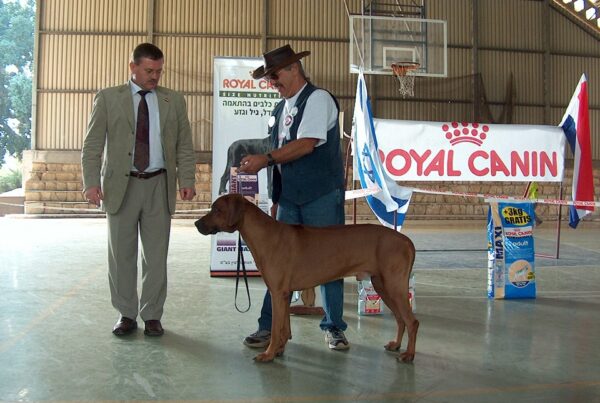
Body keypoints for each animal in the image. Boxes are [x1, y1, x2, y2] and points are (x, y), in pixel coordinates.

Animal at [195, 194, 420, 364]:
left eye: (217, 210)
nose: (197, 223)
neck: (265, 235)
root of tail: (407, 240)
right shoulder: (284, 294)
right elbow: (284, 327)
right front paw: (279, 350)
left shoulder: (277, 292)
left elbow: (276, 329)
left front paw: (268, 354)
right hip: (383, 285)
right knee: (401, 319)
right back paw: (396, 344)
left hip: (394, 286)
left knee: (412, 321)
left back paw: (409, 354)